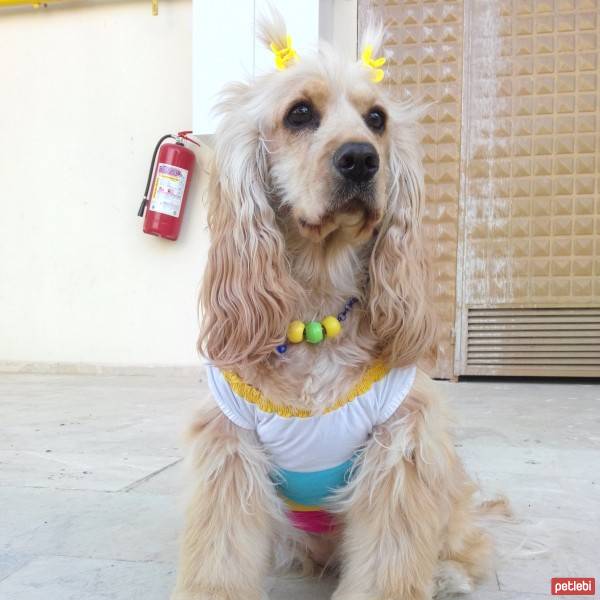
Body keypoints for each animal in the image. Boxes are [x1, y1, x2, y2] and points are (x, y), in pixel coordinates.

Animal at [171, 10, 508, 600]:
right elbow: (221, 557)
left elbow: (389, 560)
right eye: (300, 113)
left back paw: (446, 574)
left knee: (467, 539)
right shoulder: (229, 451)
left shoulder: (402, 447)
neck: (317, 312)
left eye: (377, 119)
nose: (360, 159)